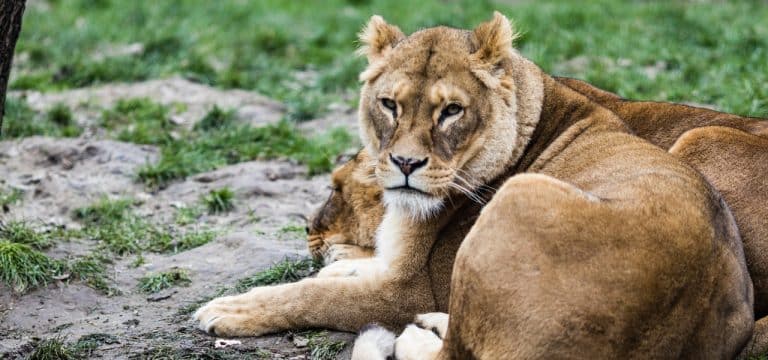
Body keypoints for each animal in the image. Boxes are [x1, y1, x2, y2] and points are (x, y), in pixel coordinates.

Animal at [195, 12, 752, 358]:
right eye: (389, 104)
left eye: (451, 111)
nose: (404, 163)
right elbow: (337, 275)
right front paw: (337, 265)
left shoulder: (410, 287)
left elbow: (313, 296)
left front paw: (229, 309)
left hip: (522, 195)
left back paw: (417, 333)